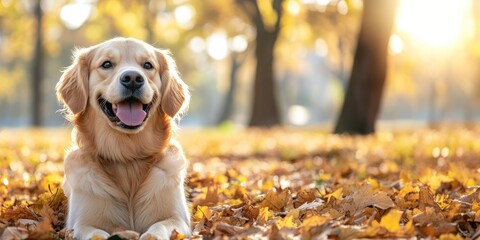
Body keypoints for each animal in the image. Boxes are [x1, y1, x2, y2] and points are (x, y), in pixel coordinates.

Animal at [56, 36, 191, 239]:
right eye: (106, 64)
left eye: (148, 65)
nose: (133, 79)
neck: (127, 158)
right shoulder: (81, 224)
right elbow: (97, 235)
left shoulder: (178, 219)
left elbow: (158, 228)